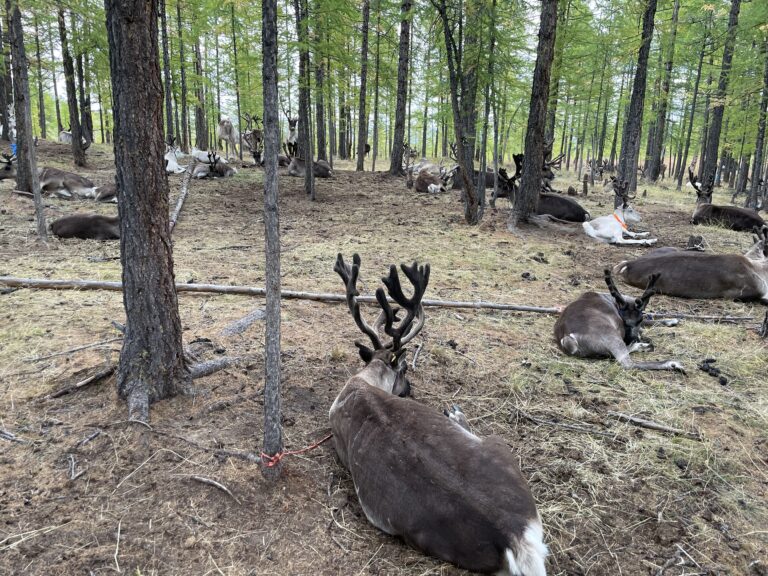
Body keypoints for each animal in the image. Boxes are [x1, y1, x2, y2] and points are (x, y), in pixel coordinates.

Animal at [331, 253, 548, 576]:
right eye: (404, 371)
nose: (409, 389)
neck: (362, 382)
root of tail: (516, 537)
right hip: (496, 447)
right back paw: (456, 414)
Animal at [555, 270, 685, 372]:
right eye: (623, 320)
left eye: (639, 319)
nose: (633, 338)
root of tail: (569, 340)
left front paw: (672, 320)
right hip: (611, 336)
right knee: (627, 363)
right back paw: (670, 362)